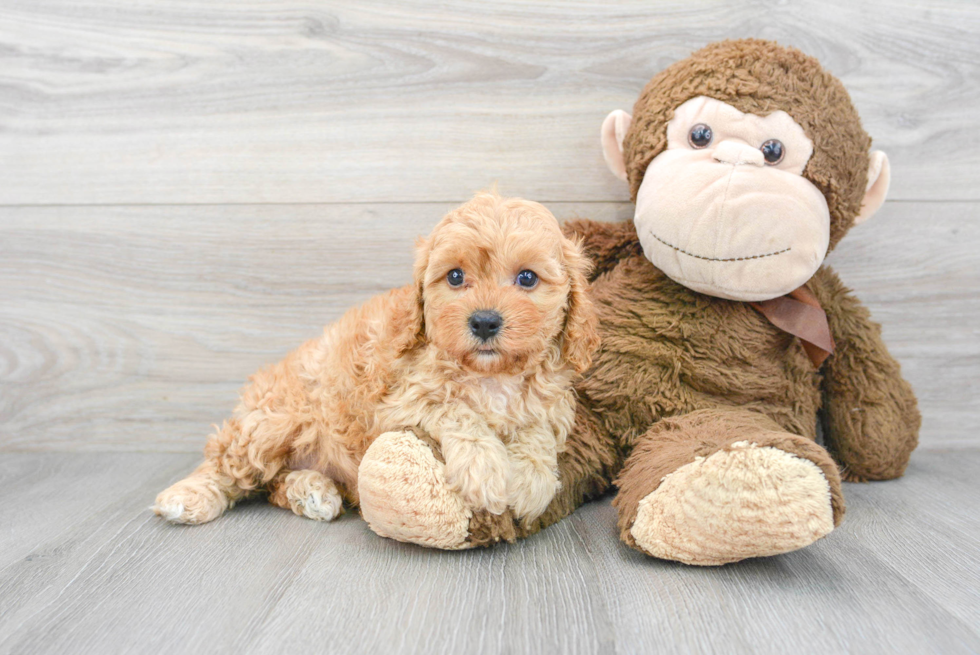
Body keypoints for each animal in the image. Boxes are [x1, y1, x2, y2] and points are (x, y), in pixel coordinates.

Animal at [155, 192, 596, 532]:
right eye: (455, 277)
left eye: (527, 278)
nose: (485, 321)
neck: (491, 375)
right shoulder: (398, 403)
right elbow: (455, 409)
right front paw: (484, 468)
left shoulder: (553, 401)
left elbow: (538, 429)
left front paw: (530, 480)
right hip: (272, 421)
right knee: (228, 462)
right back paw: (186, 497)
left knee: (270, 484)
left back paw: (310, 491)